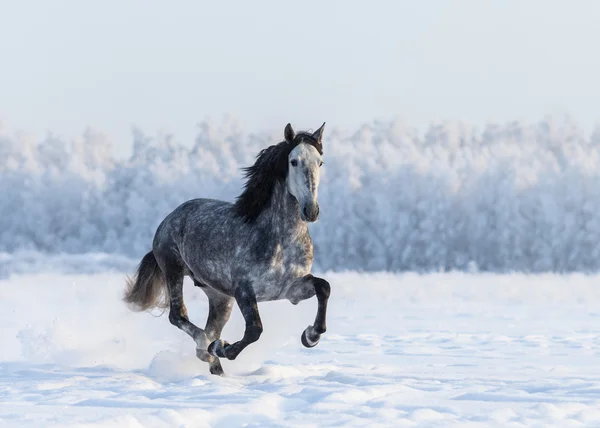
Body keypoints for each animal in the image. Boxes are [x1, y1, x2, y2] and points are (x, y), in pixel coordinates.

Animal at [123, 122, 330, 376]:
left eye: (320, 162)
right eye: (294, 161)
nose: (311, 210)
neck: (280, 241)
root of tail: (170, 217)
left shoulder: (291, 289)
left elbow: (324, 287)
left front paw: (311, 336)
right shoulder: (243, 289)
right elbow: (255, 329)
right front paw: (222, 348)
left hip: (220, 297)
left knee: (209, 328)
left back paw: (216, 368)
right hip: (173, 270)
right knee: (179, 316)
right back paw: (208, 348)